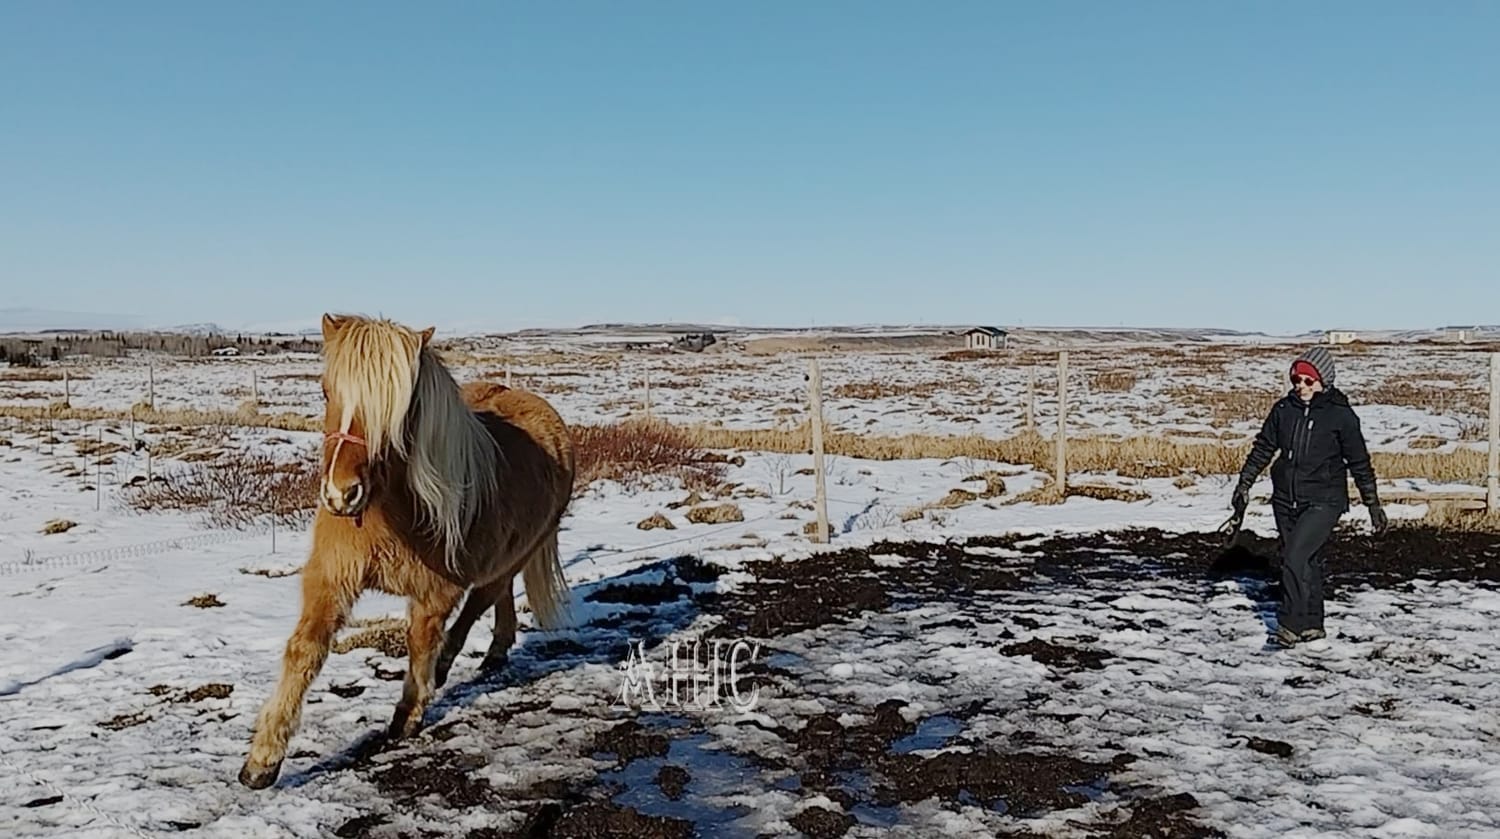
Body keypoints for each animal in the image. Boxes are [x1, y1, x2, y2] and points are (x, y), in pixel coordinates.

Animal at [238, 313, 576, 789]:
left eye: (402, 408)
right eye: (325, 390)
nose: (341, 495)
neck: (390, 512)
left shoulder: (434, 593)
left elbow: (420, 643)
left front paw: (407, 717)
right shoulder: (331, 578)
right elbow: (305, 649)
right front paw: (262, 760)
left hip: (516, 553)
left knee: (482, 600)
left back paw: (458, 662)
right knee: (500, 595)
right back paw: (494, 651)